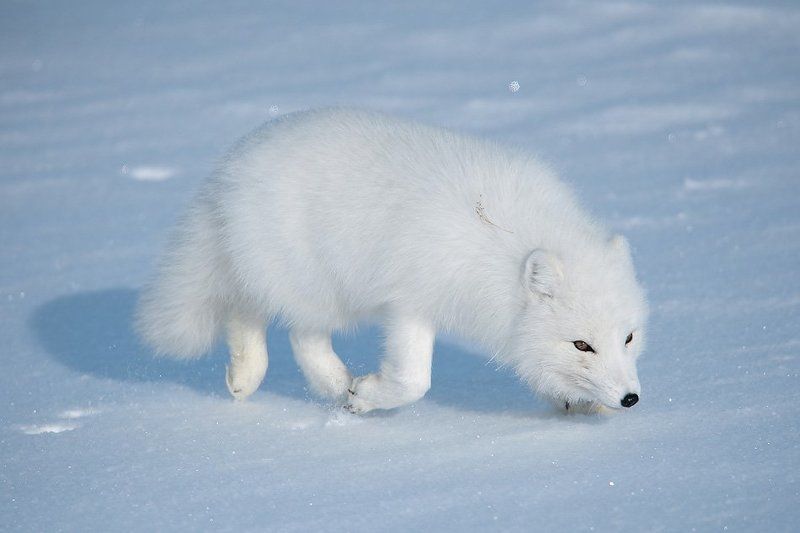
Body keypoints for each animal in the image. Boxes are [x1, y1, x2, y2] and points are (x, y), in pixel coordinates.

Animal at [135, 108, 648, 415]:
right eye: (582, 345)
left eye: (628, 337)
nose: (630, 399)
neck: (505, 240)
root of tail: (228, 169)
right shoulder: (412, 302)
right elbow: (413, 380)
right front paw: (367, 396)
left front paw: (574, 401)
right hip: (315, 284)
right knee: (272, 321)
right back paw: (307, 383)